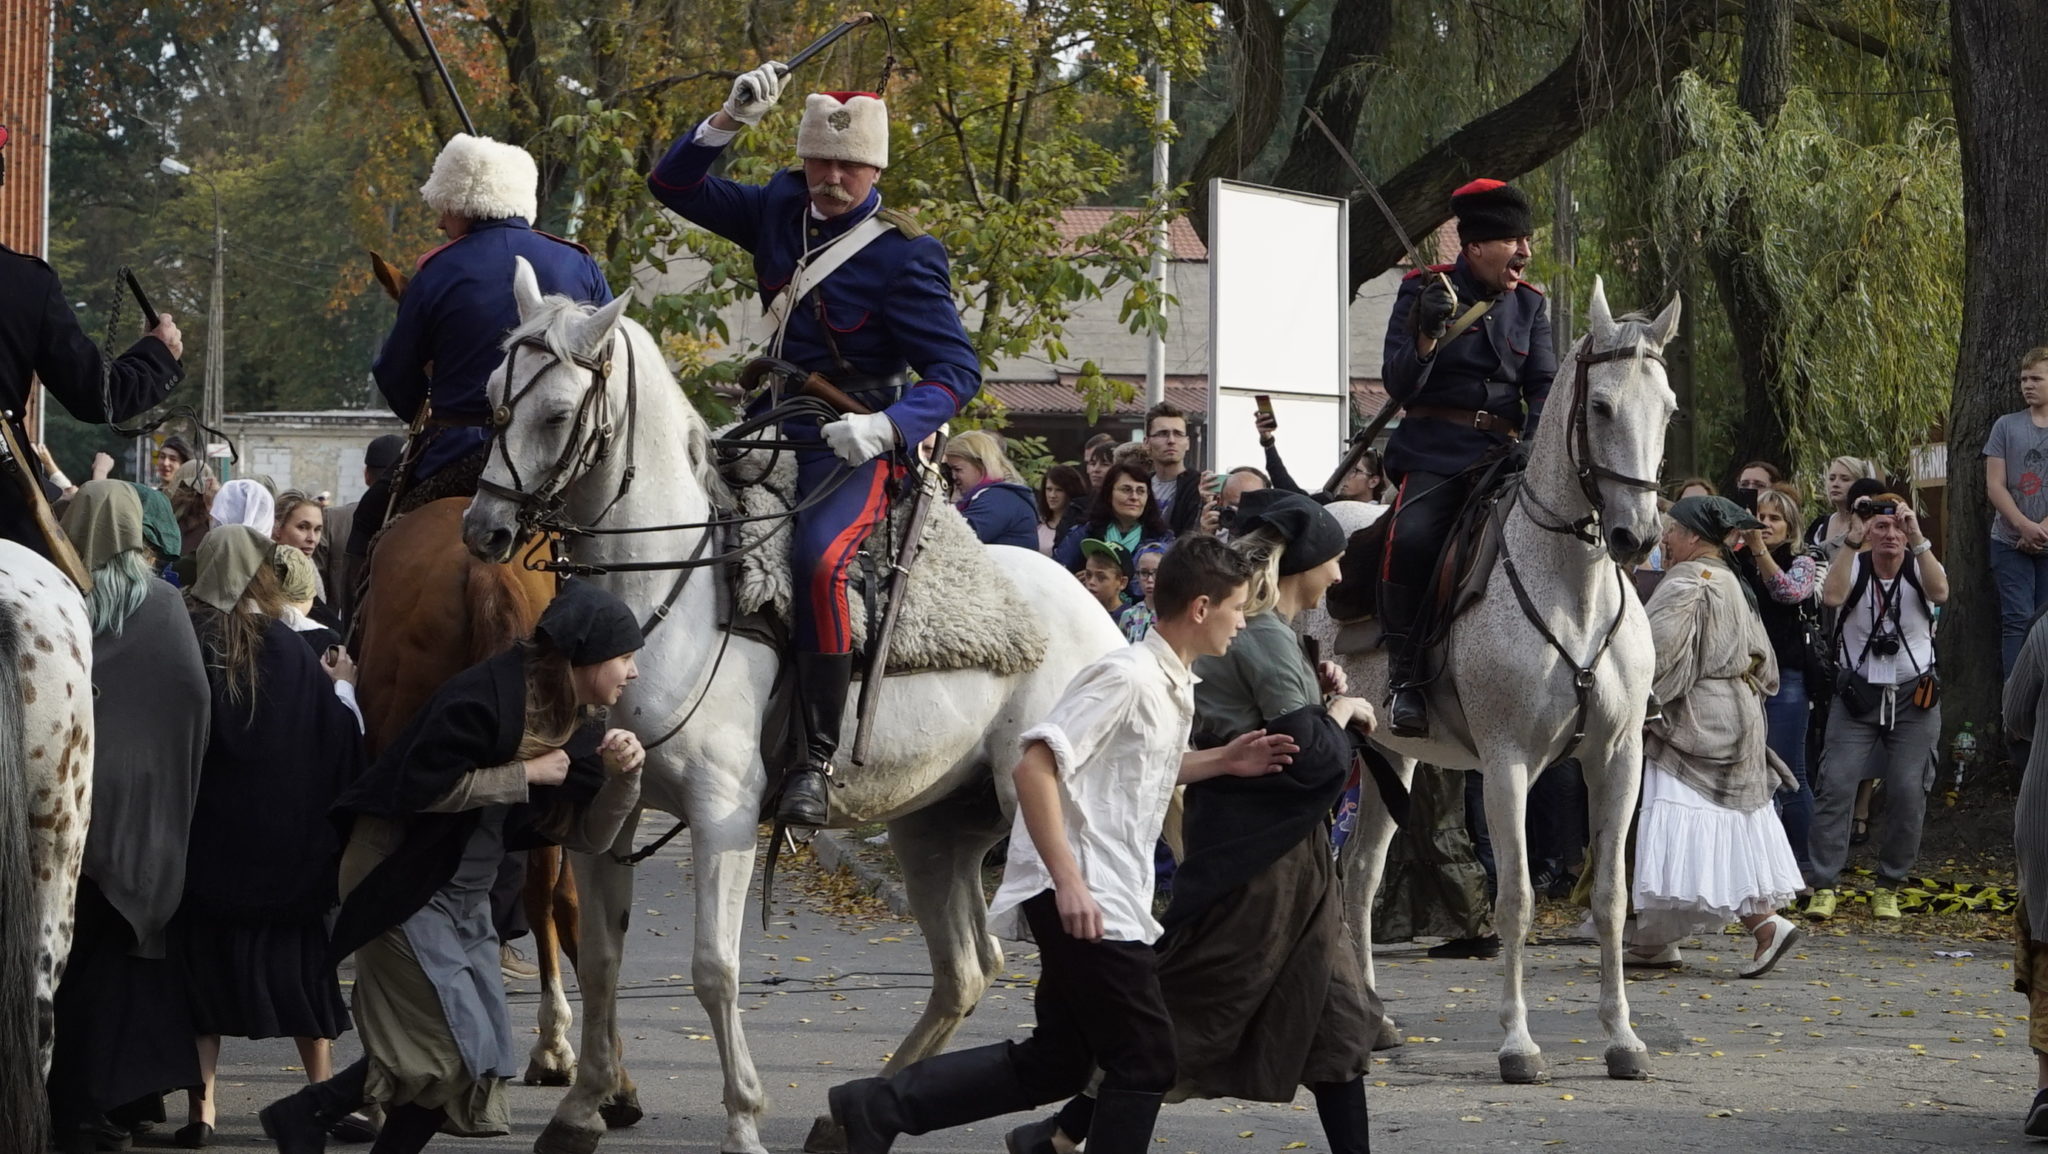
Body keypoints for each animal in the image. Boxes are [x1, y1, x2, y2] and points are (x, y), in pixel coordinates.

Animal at [462, 262, 1122, 1154]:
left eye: (558, 414)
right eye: (493, 396)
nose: (485, 530)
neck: (662, 592)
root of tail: (1098, 617)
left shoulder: (723, 814)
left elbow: (715, 968)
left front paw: (742, 1118)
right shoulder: (609, 810)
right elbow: (599, 959)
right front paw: (582, 1107)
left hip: (1041, 818)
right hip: (936, 828)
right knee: (966, 970)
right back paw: (856, 1113)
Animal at [1310, 276, 1679, 1082]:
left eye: (1667, 407)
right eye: (1601, 407)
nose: (1637, 536)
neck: (1573, 586)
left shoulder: (1617, 759)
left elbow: (1611, 898)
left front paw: (1622, 1038)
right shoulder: (1509, 763)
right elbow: (1514, 899)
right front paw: (1517, 1043)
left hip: (1388, 755)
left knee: (1360, 874)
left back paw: (1377, 1021)